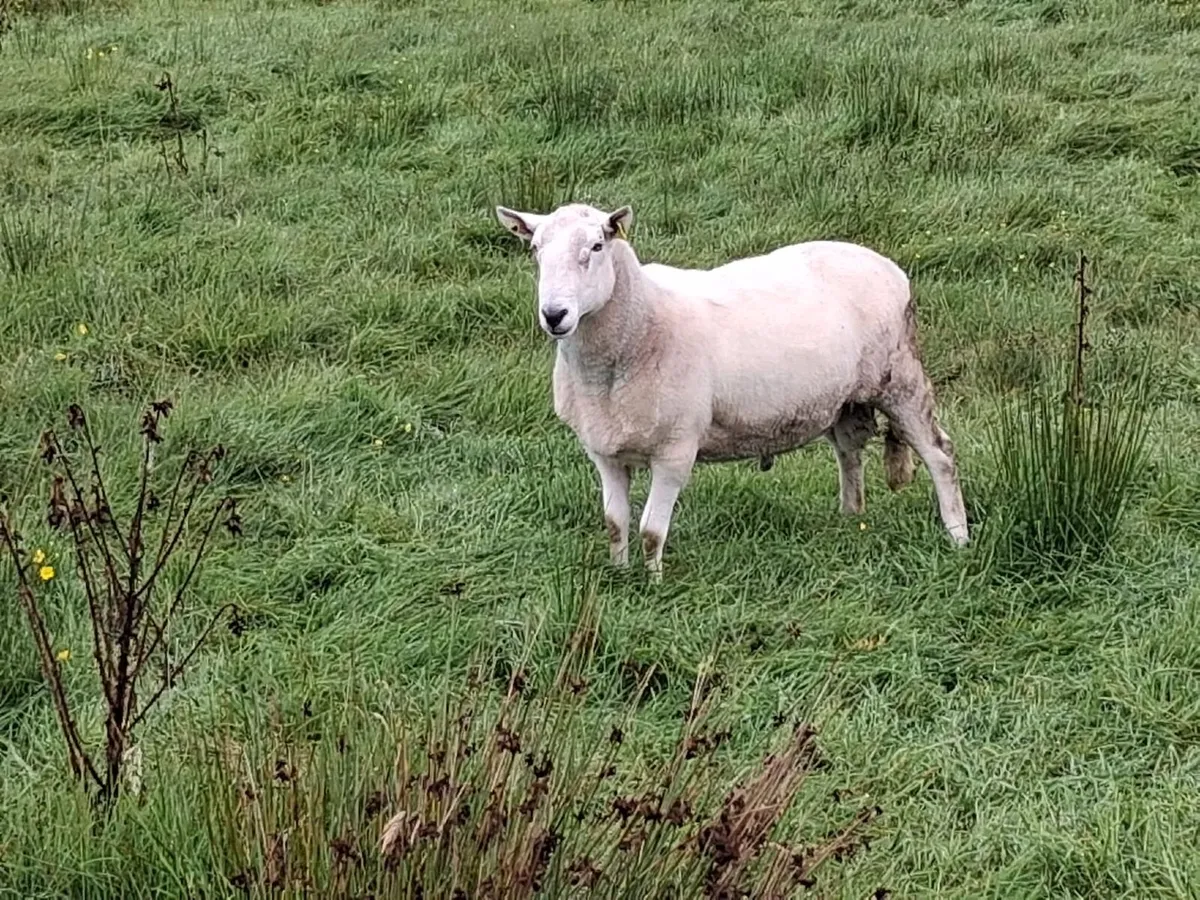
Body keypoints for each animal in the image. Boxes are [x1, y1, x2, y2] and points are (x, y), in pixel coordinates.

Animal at [496, 201, 968, 580]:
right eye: (535, 249)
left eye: (597, 247)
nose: (554, 314)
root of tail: (887, 265)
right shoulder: (604, 451)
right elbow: (616, 524)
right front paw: (619, 573)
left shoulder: (676, 450)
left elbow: (651, 530)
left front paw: (653, 584)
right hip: (844, 399)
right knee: (850, 452)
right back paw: (850, 519)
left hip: (901, 378)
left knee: (940, 455)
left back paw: (958, 535)